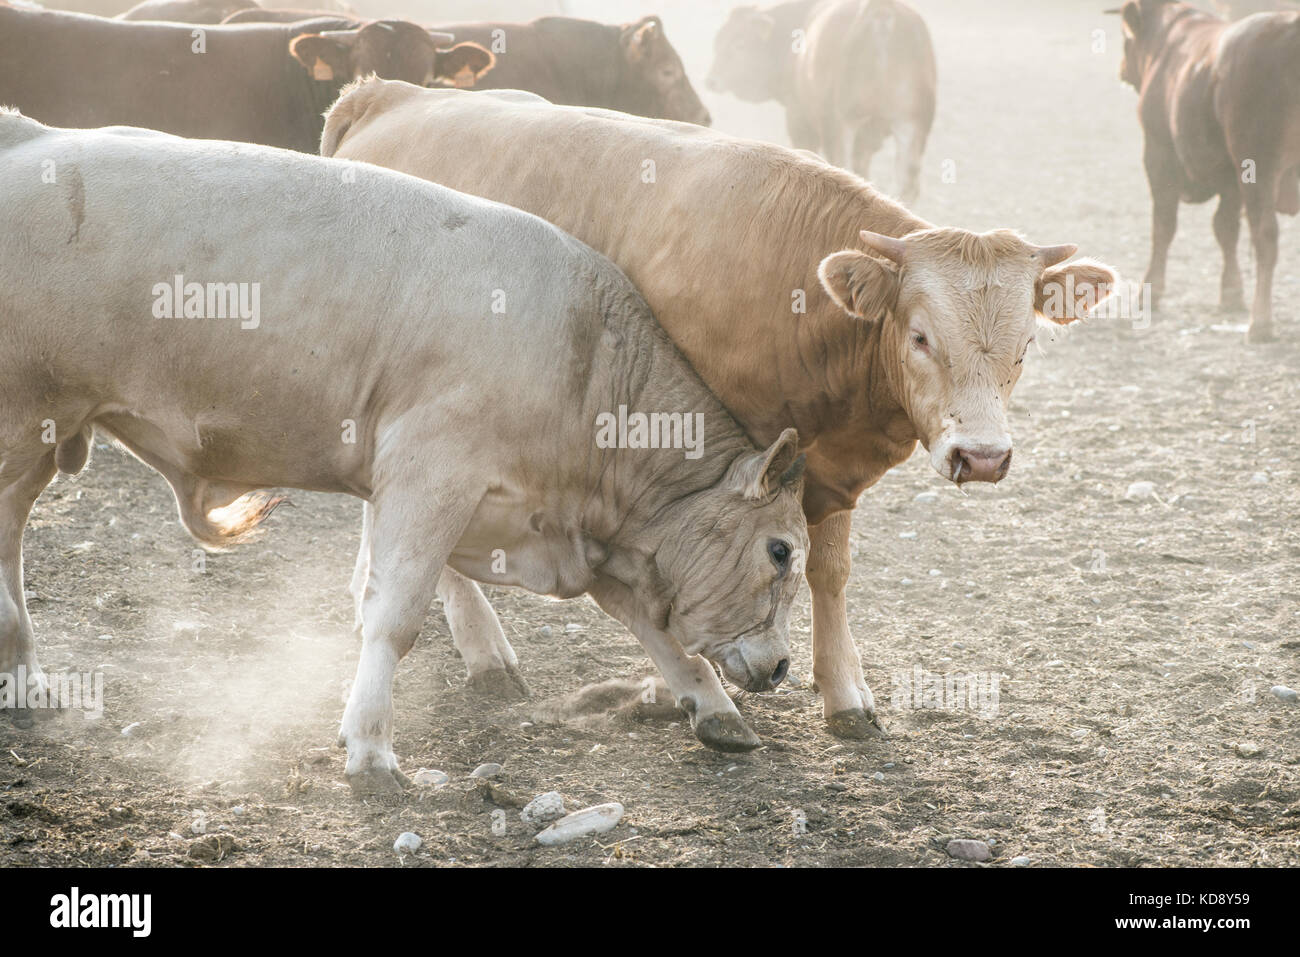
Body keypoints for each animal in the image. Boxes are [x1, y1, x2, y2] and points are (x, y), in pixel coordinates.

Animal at [0, 110, 809, 792]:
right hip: (22, 420)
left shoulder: (588, 532)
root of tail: (33, 135)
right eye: (780, 551)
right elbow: (393, 615)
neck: (586, 360)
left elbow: (655, 627)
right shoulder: (431, 473)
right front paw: (370, 748)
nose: (780, 666)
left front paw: (714, 707)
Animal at [321, 82, 1119, 744]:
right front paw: (684, 685)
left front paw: (845, 694)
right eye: (921, 336)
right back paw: (486, 652)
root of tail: (388, 94)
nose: (983, 457)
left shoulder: (820, 469)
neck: (792, 294)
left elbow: (829, 570)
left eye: (1025, 345)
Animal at [707, 0, 936, 204]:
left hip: (840, 125)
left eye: (739, 43)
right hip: (911, 125)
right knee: (906, 185)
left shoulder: (799, 119)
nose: (710, 80)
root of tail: (881, 10)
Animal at [1111, 0, 1300, 343]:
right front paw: (1231, 292)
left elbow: (1163, 226)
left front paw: (1151, 291)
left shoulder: (1158, 155)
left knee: (1265, 236)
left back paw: (1260, 321)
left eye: (1125, 38)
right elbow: (1225, 228)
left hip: (1260, 167)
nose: (1122, 69)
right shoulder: (1231, 179)